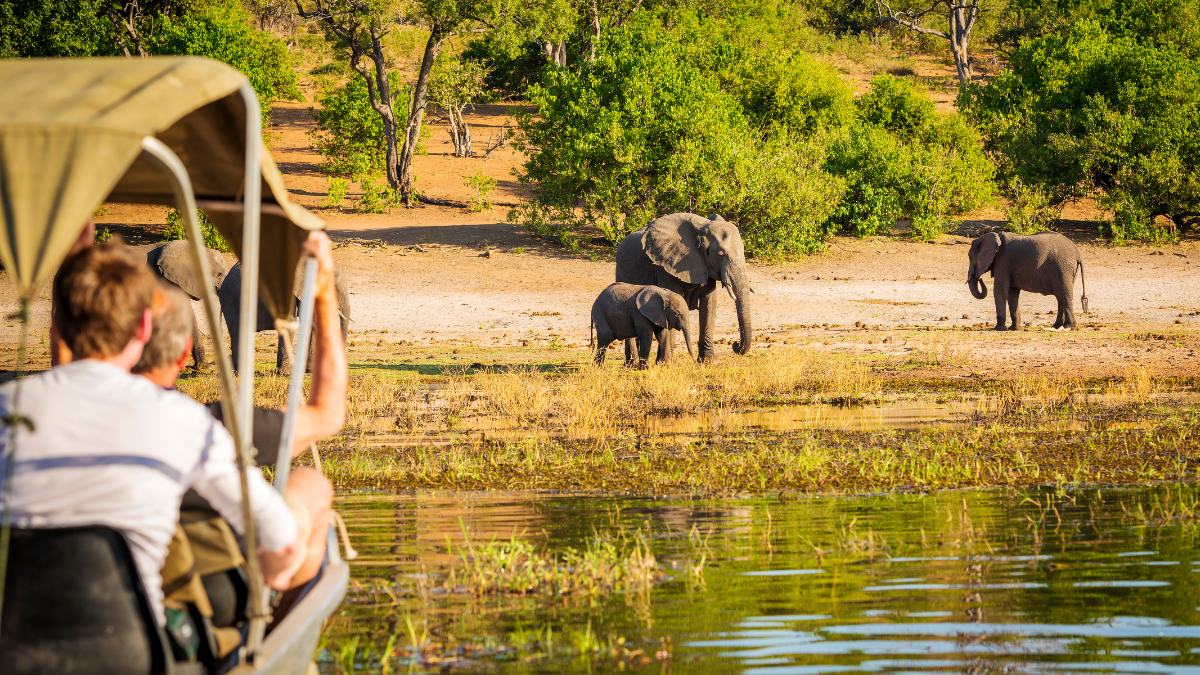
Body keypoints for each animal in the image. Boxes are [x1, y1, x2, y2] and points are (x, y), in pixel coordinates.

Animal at [615, 213, 752, 362]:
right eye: (720, 254)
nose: (736, 344)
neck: (702, 228)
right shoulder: (665, 266)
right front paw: (666, 363)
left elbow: (709, 305)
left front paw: (709, 362)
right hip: (620, 271)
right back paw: (632, 363)